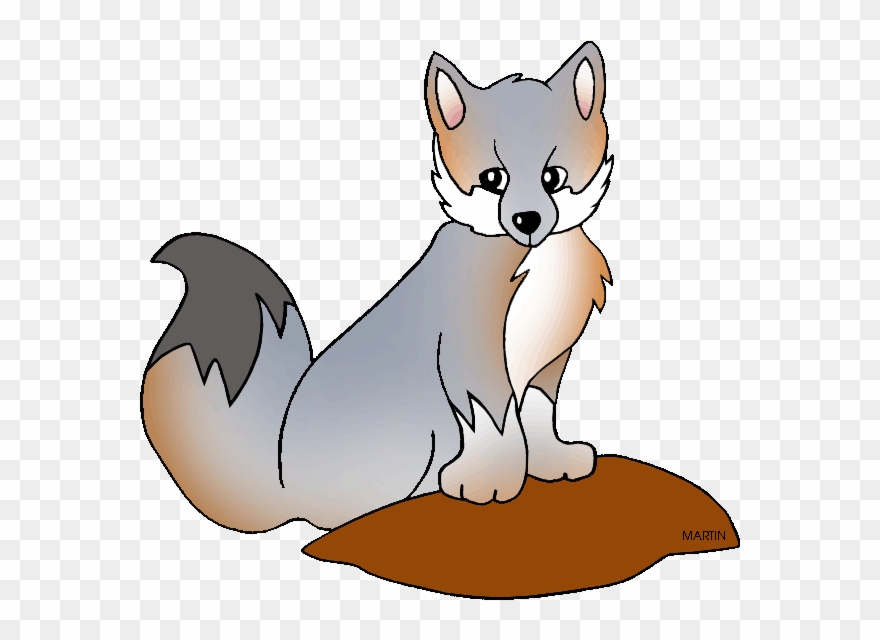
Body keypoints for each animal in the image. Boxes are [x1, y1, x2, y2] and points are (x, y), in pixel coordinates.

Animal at [141, 41, 614, 532]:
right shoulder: (469, 356)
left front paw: (553, 461)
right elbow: (496, 423)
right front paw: (489, 482)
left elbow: (538, 414)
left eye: (552, 177)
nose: (528, 221)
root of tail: (282, 479)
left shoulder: (549, 360)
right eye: (492, 179)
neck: (537, 265)